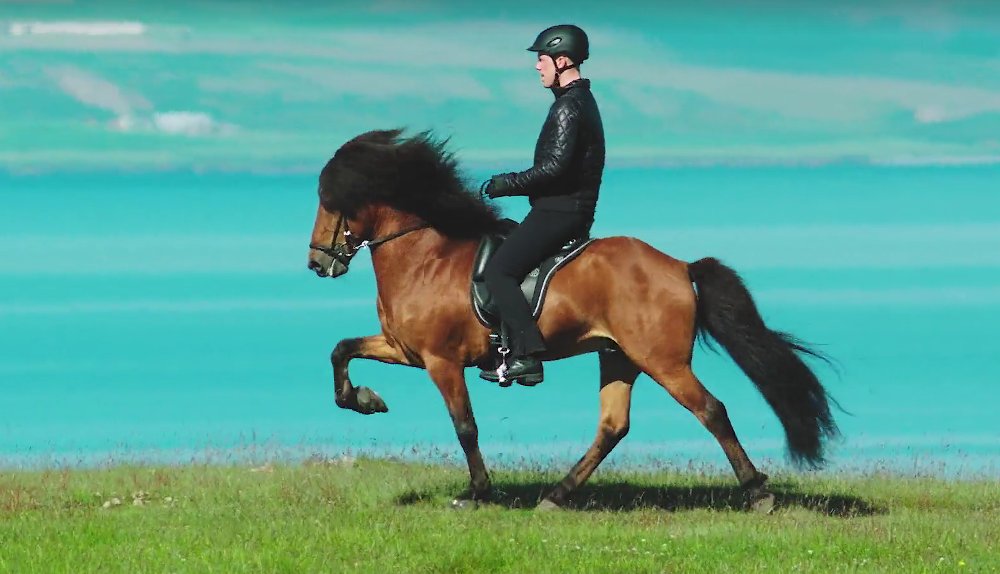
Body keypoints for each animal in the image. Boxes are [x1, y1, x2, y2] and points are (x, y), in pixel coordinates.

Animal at [304, 130, 836, 512]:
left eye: (329, 201)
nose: (316, 263)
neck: (424, 257)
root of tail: (679, 267)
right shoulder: (403, 349)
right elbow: (340, 349)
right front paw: (364, 400)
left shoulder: (441, 361)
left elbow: (465, 427)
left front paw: (477, 493)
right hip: (620, 356)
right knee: (613, 427)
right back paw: (556, 496)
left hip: (662, 360)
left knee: (711, 410)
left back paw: (758, 493)